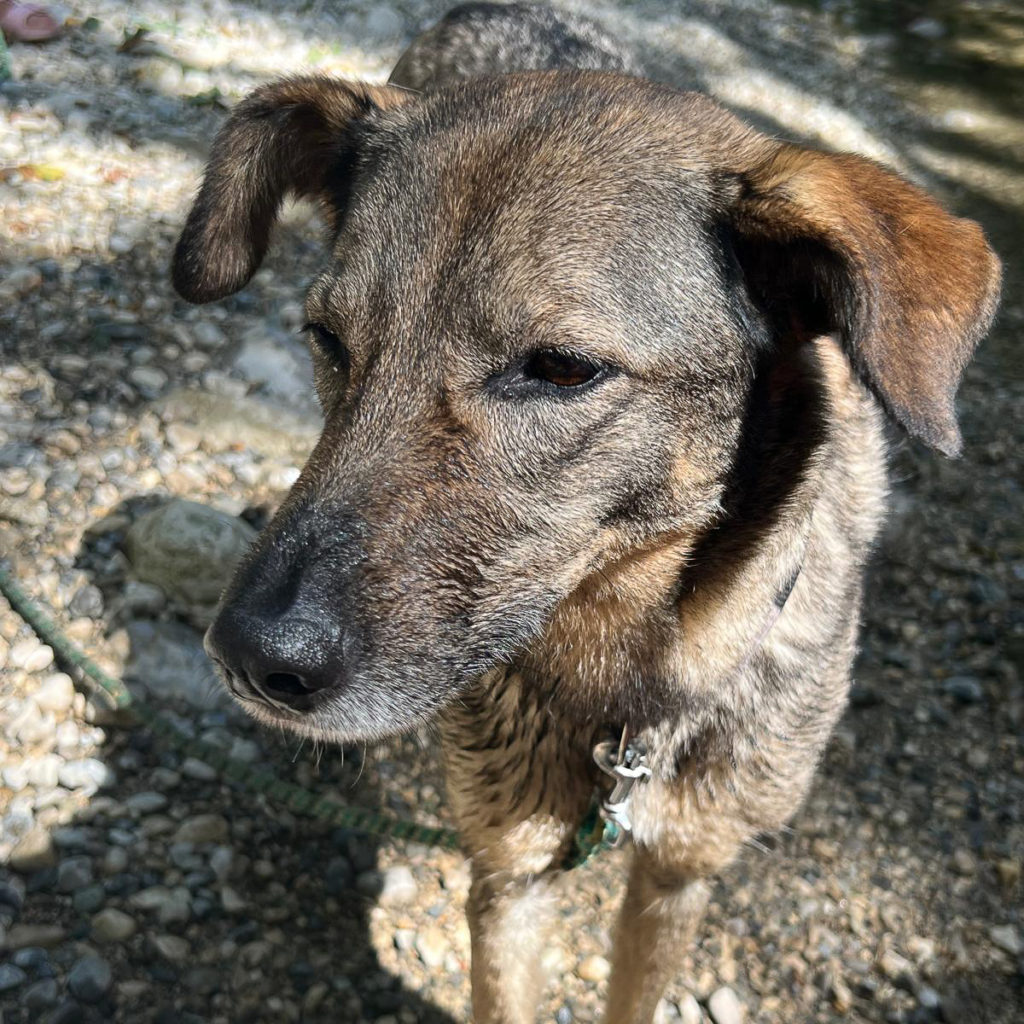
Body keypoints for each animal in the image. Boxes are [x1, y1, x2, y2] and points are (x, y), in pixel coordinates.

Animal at [171, 4, 1000, 1022]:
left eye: (563, 368)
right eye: (326, 338)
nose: (250, 658)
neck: (628, 685)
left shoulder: (681, 874)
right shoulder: (509, 871)